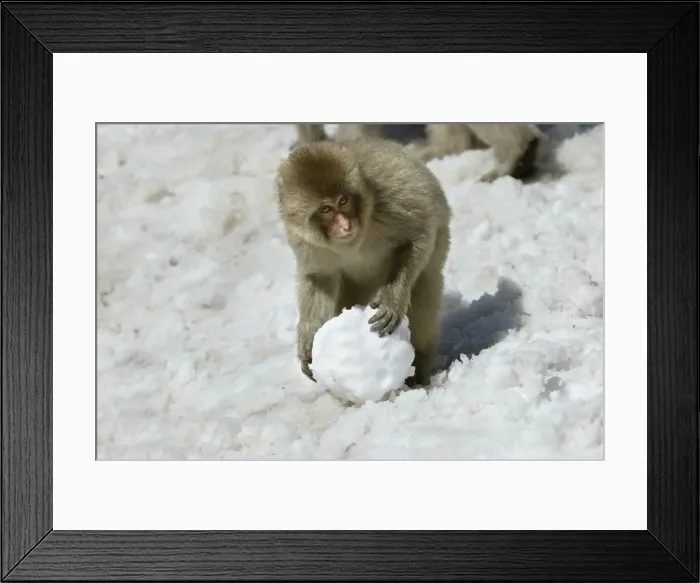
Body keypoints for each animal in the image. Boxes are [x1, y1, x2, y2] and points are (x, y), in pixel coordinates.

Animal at [275, 136, 452, 388]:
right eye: (326, 209)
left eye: (344, 201)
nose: (345, 225)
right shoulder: (302, 238)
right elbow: (319, 278)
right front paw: (307, 340)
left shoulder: (388, 198)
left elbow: (419, 233)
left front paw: (391, 301)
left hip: (438, 248)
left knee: (422, 300)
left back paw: (417, 372)